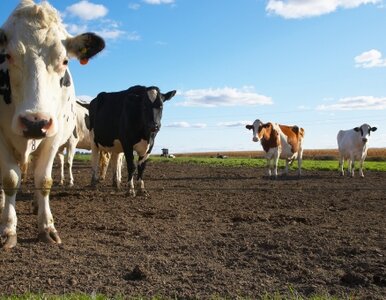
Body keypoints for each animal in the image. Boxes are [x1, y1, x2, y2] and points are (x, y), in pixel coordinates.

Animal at [0, 0, 104, 248]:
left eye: (64, 60)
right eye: (7, 56)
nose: (35, 121)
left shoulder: (53, 138)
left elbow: (44, 180)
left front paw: (47, 226)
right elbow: (10, 179)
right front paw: (8, 229)